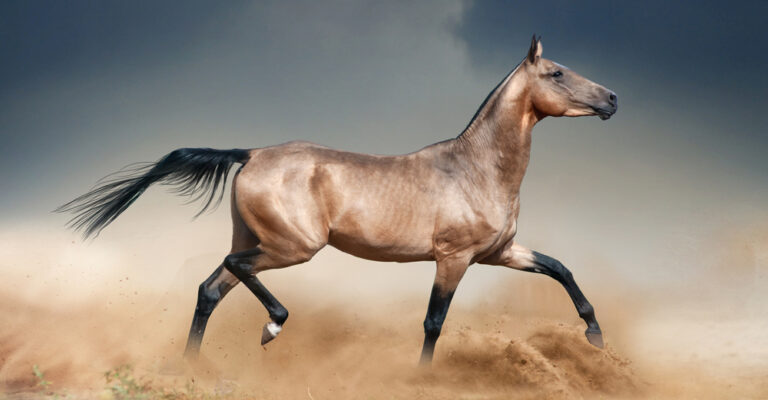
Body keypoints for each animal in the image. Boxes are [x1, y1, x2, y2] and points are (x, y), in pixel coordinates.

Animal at [57, 36, 617, 365]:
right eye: (557, 73)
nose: (612, 98)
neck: (475, 170)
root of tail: (251, 152)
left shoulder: (499, 253)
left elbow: (560, 269)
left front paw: (594, 335)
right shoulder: (453, 258)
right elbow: (434, 322)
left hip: (256, 238)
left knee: (209, 289)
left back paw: (190, 367)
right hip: (292, 247)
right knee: (235, 270)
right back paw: (271, 327)